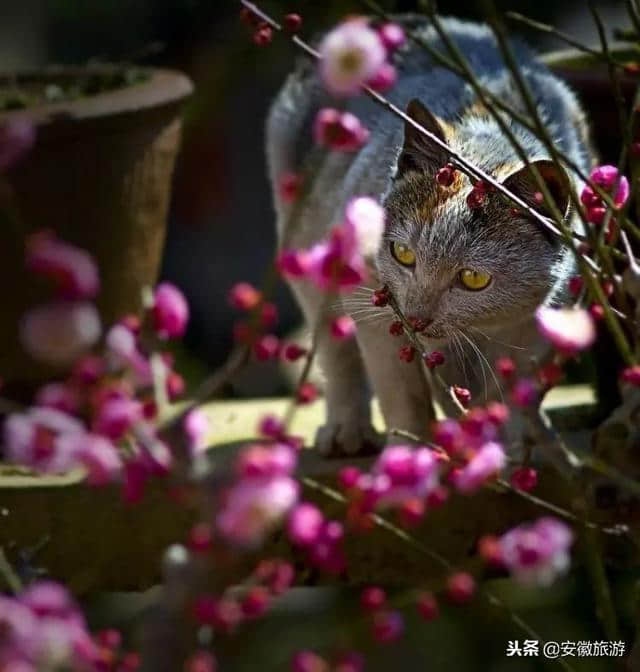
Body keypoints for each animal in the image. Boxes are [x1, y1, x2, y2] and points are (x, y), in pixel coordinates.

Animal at [264, 17, 596, 456]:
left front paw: (507, 445)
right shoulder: (372, 305)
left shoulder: (546, 320)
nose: (416, 318)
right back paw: (347, 432)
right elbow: (402, 395)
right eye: (403, 254)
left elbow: (509, 392)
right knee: (336, 349)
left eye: (473, 278)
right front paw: (411, 455)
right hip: (306, 238)